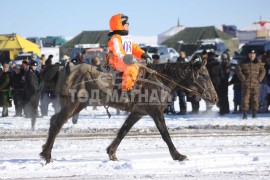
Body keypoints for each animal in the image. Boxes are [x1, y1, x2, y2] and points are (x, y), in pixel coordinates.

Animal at [39, 59, 217, 164]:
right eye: (203, 75)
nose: (215, 98)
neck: (159, 80)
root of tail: (63, 67)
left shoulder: (137, 113)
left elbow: (123, 131)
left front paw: (111, 152)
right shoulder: (156, 112)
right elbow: (165, 134)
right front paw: (178, 155)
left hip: (78, 104)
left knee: (53, 120)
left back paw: (45, 151)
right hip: (72, 103)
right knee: (57, 124)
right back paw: (47, 155)